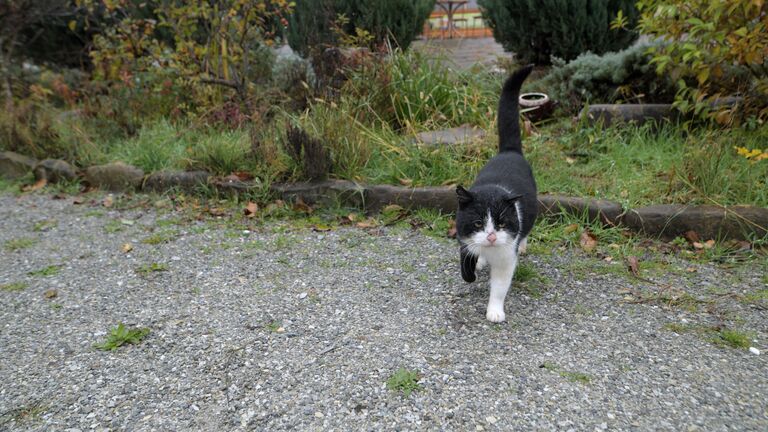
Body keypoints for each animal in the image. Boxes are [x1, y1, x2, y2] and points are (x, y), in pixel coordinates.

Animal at [456, 64, 540, 320]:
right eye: (477, 223)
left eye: (502, 223)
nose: (492, 236)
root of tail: (509, 151)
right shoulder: (464, 239)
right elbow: (466, 263)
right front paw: (472, 272)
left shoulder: (505, 260)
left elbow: (500, 287)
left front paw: (494, 312)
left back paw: (523, 245)